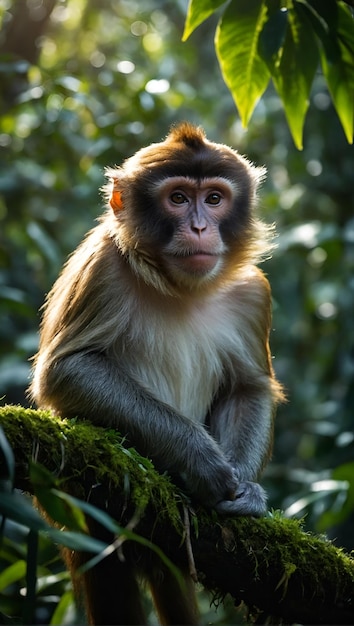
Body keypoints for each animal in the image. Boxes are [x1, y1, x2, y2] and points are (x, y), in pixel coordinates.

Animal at [29, 122, 284, 624]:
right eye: (179, 199)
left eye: (214, 199)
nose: (201, 227)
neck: (181, 287)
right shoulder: (102, 269)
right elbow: (68, 371)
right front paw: (200, 459)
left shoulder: (252, 293)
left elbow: (248, 387)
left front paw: (246, 491)